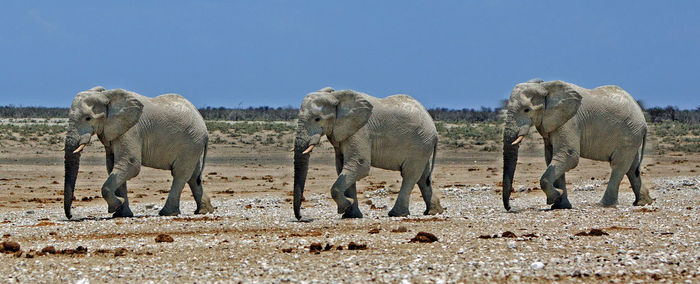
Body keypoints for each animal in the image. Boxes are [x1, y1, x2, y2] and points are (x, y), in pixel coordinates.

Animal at [64, 86, 215, 220]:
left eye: (88, 118)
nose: (70, 216)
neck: (106, 95)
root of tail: (202, 121)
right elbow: (113, 166)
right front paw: (121, 214)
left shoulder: (131, 130)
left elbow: (130, 164)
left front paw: (116, 206)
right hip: (194, 143)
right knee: (194, 176)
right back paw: (204, 211)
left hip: (191, 142)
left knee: (180, 174)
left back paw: (167, 213)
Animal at [294, 87, 446, 220]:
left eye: (317, 119)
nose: (301, 218)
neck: (336, 96)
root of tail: (433, 126)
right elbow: (342, 167)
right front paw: (351, 215)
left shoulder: (361, 131)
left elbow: (359, 165)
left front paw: (345, 207)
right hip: (423, 145)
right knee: (423, 177)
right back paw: (433, 212)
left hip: (420, 143)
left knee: (410, 175)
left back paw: (397, 214)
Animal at [500, 79, 652, 210]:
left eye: (526, 110)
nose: (509, 208)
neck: (545, 86)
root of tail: (642, 117)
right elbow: (552, 158)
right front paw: (560, 205)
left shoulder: (570, 121)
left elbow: (568, 156)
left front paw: (555, 197)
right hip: (632, 134)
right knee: (632, 168)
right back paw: (642, 202)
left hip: (630, 132)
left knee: (619, 166)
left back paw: (604, 205)